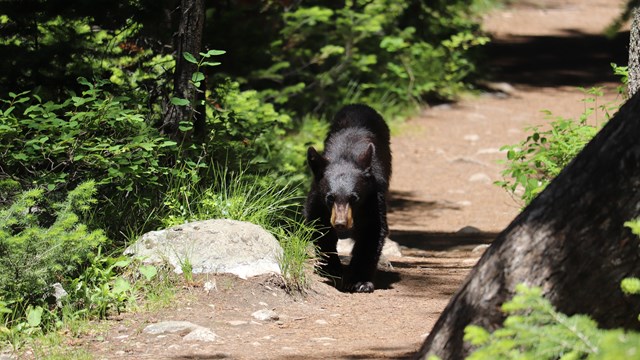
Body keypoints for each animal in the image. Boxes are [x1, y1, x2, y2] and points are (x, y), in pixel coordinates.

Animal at [304, 103, 392, 292]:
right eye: (330, 197)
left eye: (354, 198)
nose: (340, 223)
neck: (346, 156)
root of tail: (359, 105)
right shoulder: (317, 196)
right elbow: (318, 223)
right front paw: (331, 268)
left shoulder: (373, 196)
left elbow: (373, 230)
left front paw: (360, 281)